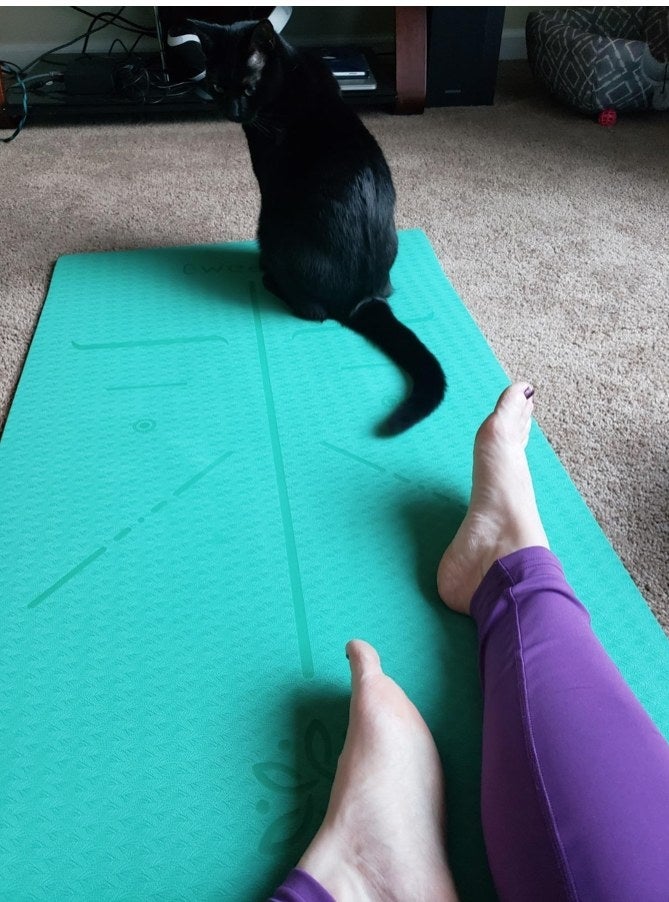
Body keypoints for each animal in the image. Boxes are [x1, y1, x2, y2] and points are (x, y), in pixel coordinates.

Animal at [189, 16, 444, 434]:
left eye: (247, 87)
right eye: (216, 86)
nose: (233, 111)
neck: (289, 72)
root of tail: (361, 301)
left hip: (271, 228)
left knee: (313, 312)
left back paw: (271, 280)